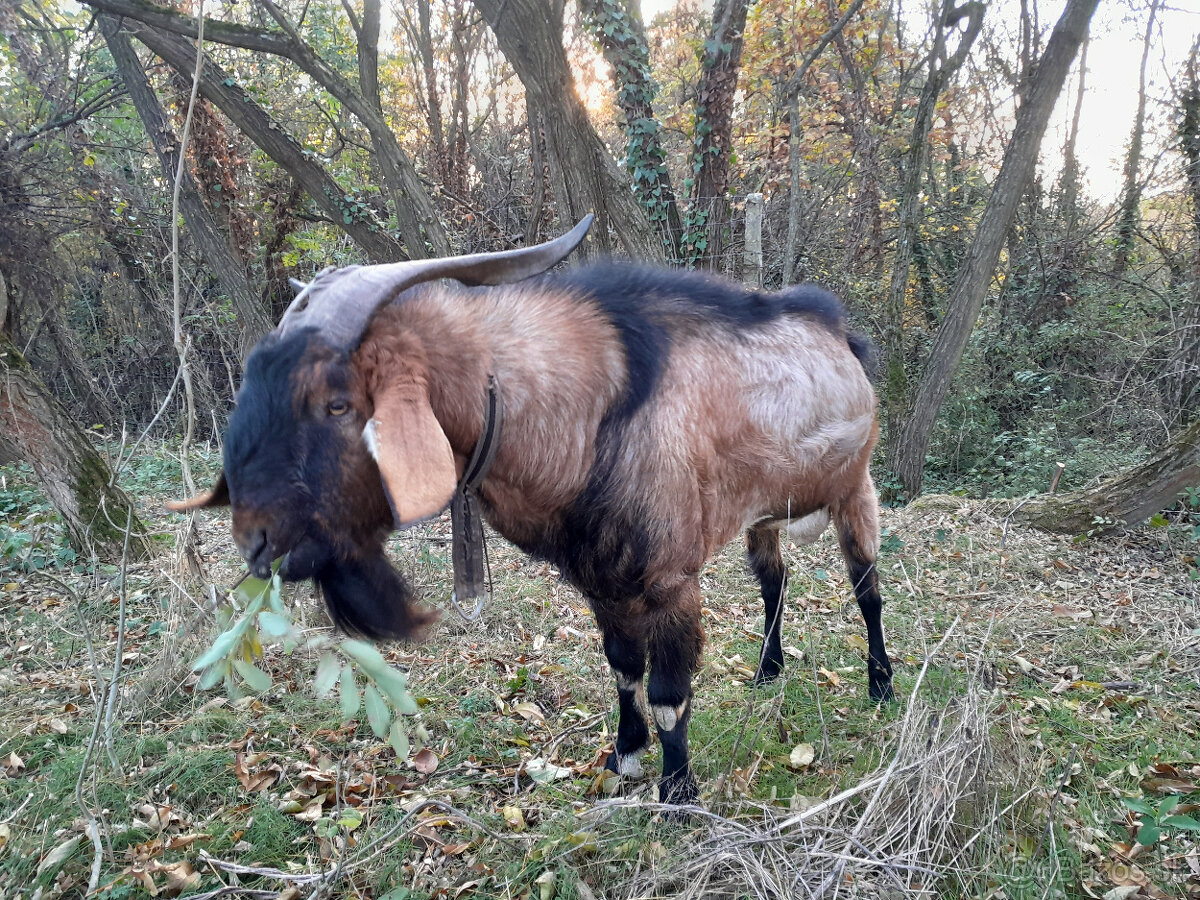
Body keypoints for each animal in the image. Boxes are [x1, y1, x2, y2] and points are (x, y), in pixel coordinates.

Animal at [174, 220, 897, 811]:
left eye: (337, 404)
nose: (258, 541)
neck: (587, 408)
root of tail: (845, 335)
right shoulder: (599, 578)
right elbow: (622, 667)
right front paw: (624, 756)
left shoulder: (669, 580)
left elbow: (668, 693)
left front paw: (677, 793)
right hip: (765, 514)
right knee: (774, 580)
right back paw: (768, 670)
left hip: (854, 487)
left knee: (867, 588)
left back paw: (881, 685)